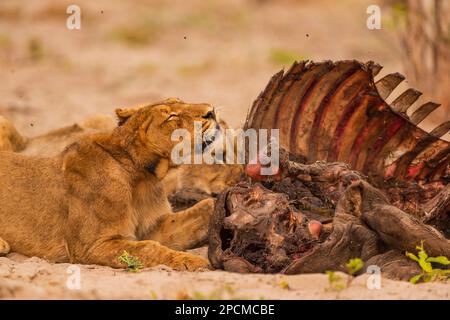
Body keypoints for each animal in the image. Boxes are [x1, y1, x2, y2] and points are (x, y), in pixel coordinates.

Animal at [0, 99, 225, 272]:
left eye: (180, 101)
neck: (141, 177)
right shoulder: (92, 246)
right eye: (171, 116)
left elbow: (201, 210)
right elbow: (148, 248)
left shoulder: (153, 227)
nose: (212, 111)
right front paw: (190, 260)